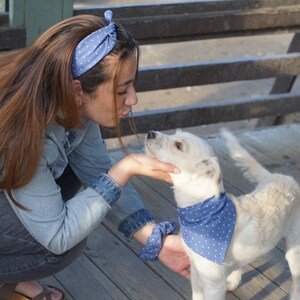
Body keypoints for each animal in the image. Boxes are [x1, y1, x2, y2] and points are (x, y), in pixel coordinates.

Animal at [145, 129, 300, 300]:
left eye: (179, 146)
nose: (150, 133)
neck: (202, 211)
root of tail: (282, 177)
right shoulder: (196, 272)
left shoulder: (213, 285)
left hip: (294, 250)